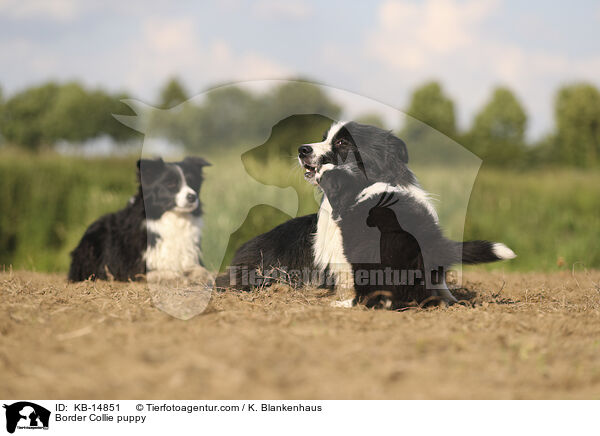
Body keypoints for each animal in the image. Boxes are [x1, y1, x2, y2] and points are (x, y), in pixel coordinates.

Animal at [68, 157, 211, 282]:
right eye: (170, 184)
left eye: (193, 183)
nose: (192, 197)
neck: (174, 219)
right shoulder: (130, 267)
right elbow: (160, 272)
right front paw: (177, 277)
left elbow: (201, 270)